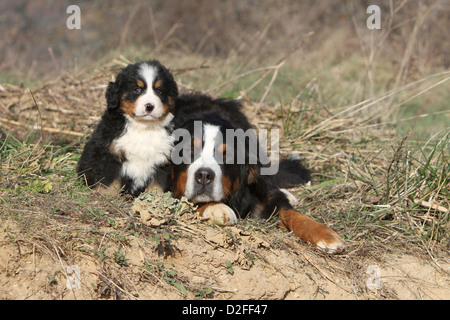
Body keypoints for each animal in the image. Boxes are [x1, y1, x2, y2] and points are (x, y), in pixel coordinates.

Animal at [77, 59, 178, 195]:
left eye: (159, 91)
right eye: (137, 89)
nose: (149, 106)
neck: (143, 127)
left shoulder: (162, 159)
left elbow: (157, 185)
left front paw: (156, 199)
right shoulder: (109, 154)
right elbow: (108, 181)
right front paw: (106, 196)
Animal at [169, 94, 344, 254]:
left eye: (226, 155)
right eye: (189, 150)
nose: (204, 175)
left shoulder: (265, 195)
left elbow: (294, 214)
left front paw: (326, 235)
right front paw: (216, 208)